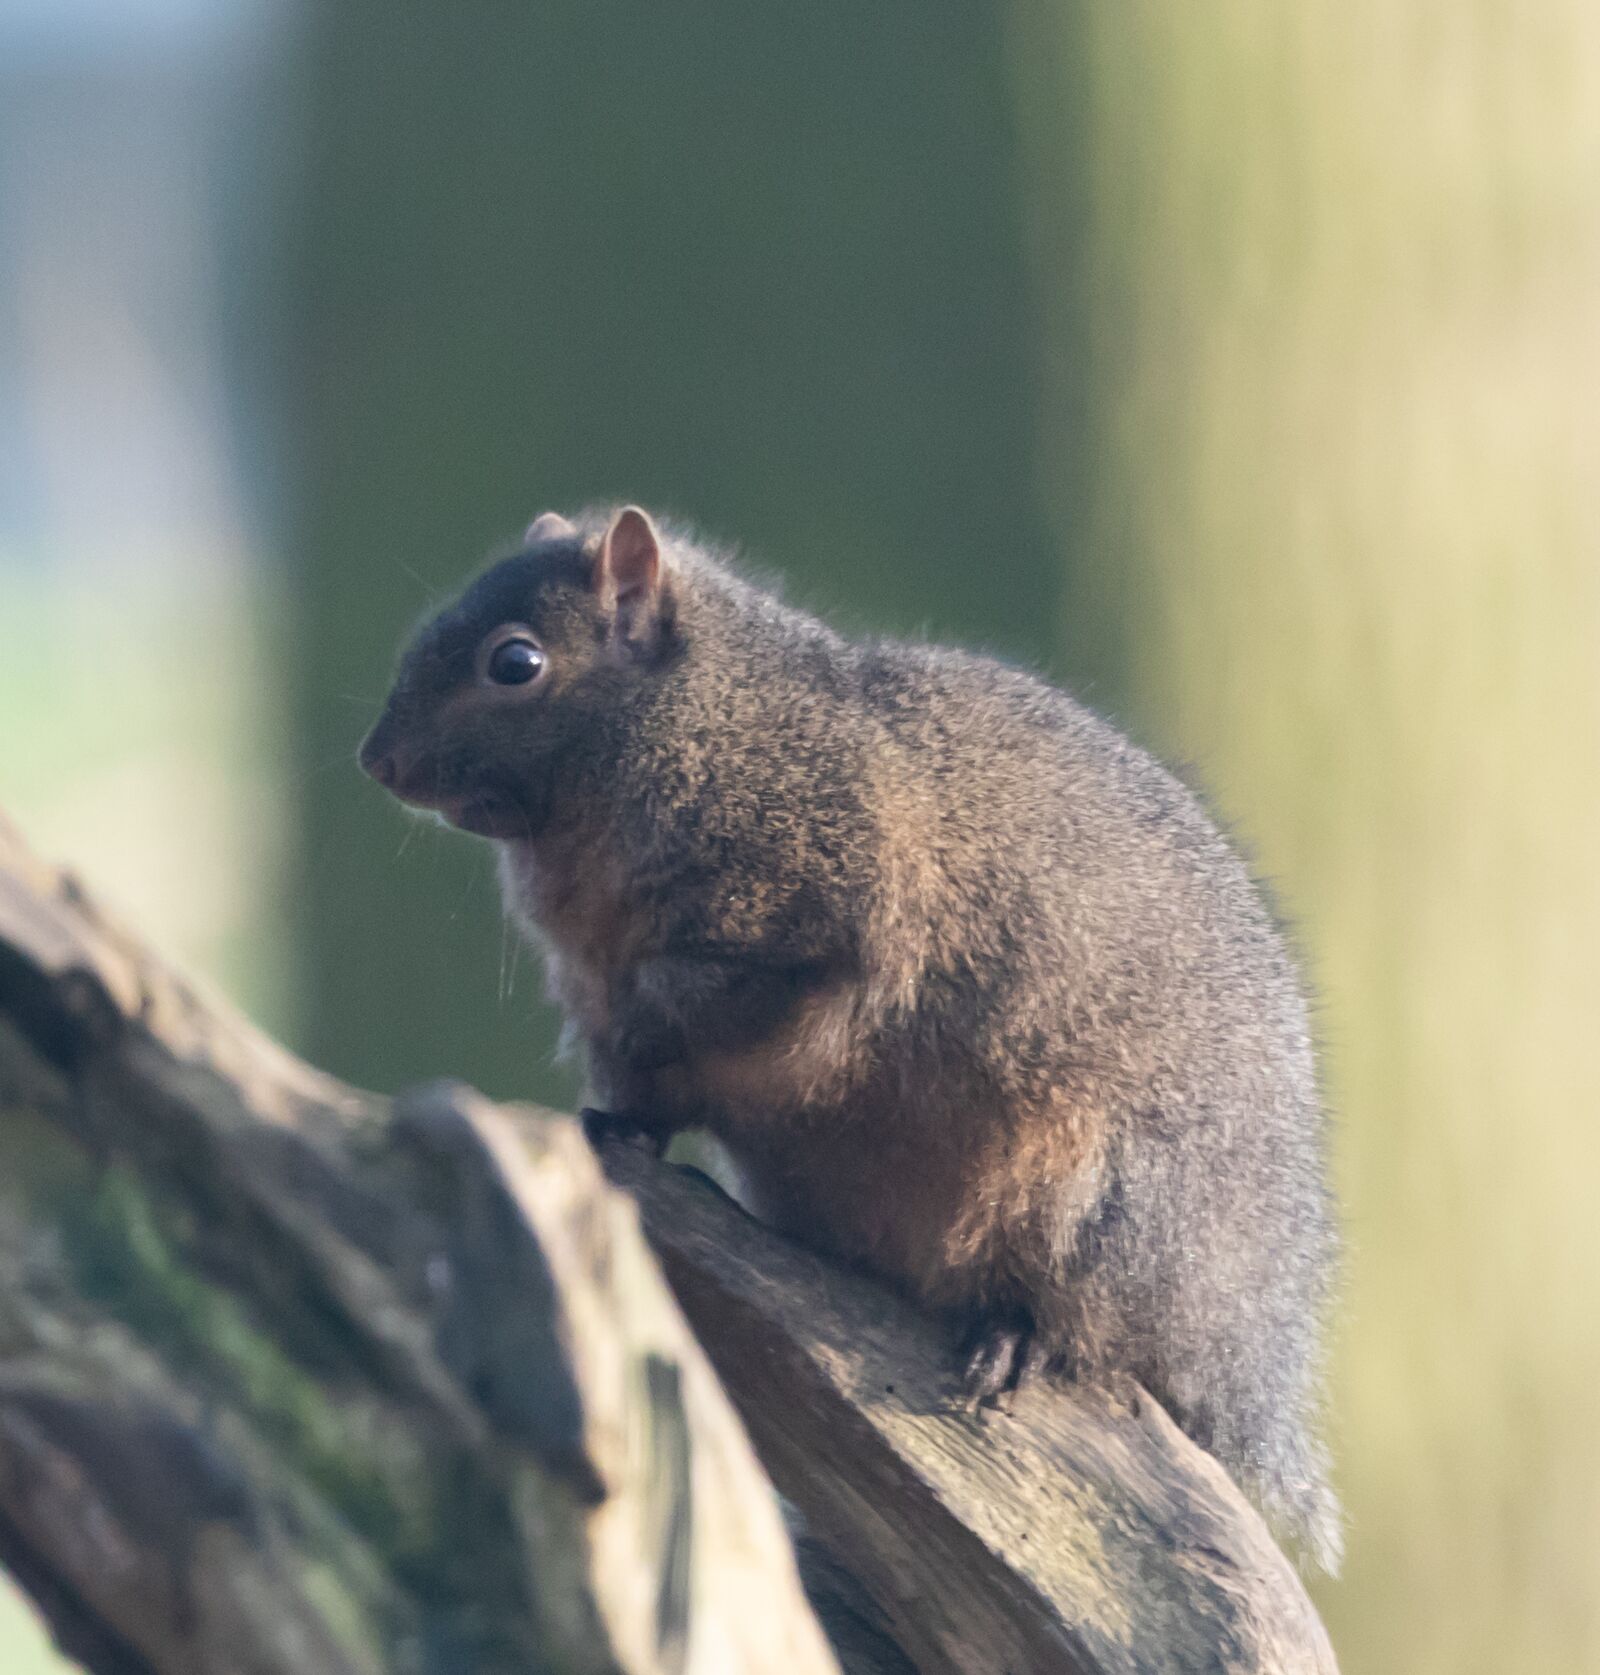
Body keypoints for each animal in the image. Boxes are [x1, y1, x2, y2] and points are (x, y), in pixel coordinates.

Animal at [360, 504, 1342, 1570]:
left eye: (516, 662)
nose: (376, 760)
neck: (702, 726)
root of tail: (1240, 1344)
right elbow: (639, 1083)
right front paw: (617, 1127)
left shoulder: (831, 896)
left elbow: (748, 994)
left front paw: (661, 1009)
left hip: (1104, 1209)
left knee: (1092, 1335)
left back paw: (1016, 1335)